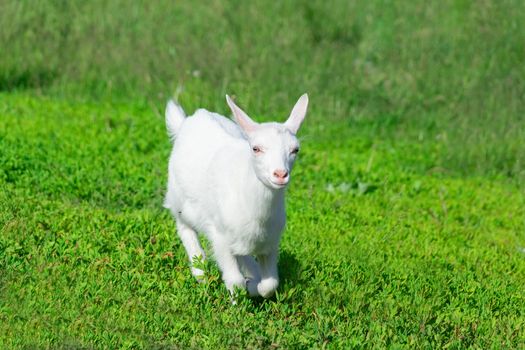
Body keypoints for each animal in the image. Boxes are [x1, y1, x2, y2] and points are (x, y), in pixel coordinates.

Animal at [164, 93, 308, 298]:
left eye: (295, 150)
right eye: (256, 148)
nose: (280, 174)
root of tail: (188, 120)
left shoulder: (270, 243)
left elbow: (270, 285)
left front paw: (254, 285)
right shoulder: (220, 238)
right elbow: (235, 282)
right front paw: (241, 295)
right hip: (179, 200)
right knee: (185, 228)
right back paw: (200, 272)